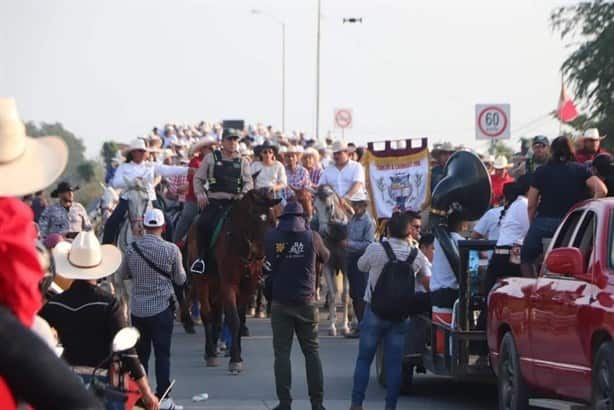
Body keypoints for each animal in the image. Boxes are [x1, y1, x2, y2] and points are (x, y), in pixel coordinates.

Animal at [183, 189, 280, 372]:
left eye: (272, 221)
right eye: (254, 217)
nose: (262, 255)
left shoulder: (249, 286)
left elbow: (238, 319)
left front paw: (237, 354)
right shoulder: (229, 285)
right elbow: (233, 319)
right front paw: (235, 360)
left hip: (216, 286)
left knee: (216, 316)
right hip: (202, 282)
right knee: (207, 314)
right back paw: (210, 353)